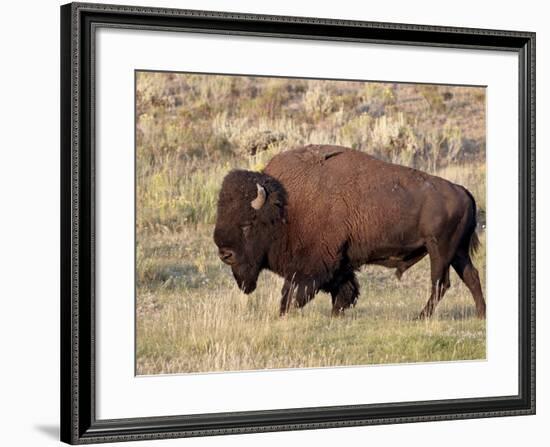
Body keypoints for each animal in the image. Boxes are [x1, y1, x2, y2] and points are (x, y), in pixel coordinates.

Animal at [215, 145, 488, 320]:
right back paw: (480, 315)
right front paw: (336, 315)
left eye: (247, 224)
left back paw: (421, 317)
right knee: (471, 276)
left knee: (441, 283)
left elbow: (293, 294)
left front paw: (285, 314)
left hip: (439, 250)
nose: (225, 254)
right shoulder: (340, 261)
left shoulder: (313, 265)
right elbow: (344, 289)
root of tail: (462, 190)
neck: (285, 206)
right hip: (457, 251)